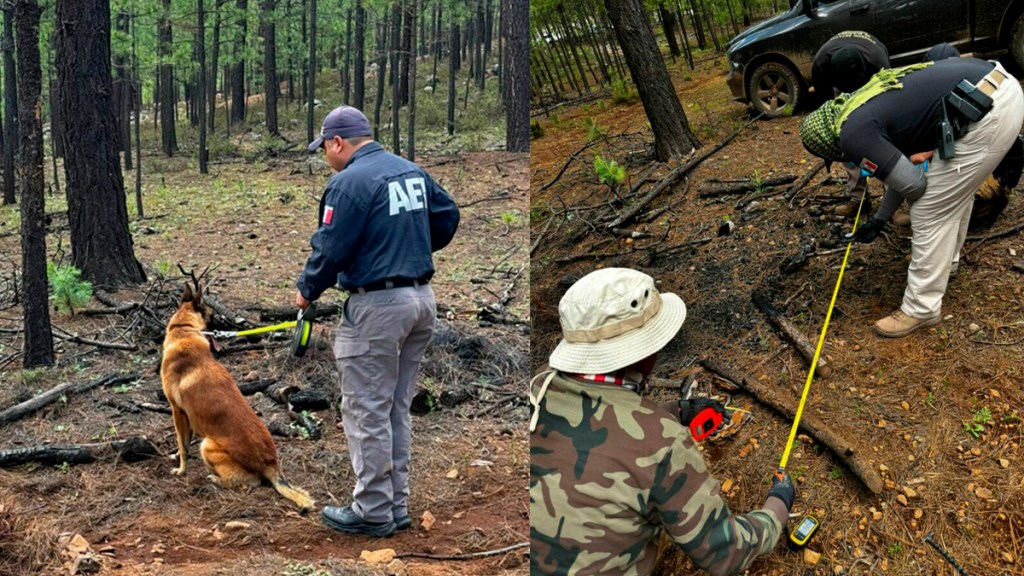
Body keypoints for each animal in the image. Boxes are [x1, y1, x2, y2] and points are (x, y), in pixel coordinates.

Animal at [158, 280, 311, 508]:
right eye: (213, 316)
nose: (228, 328)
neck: (184, 329)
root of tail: (271, 464)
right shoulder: (187, 416)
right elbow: (183, 441)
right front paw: (176, 455)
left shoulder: (178, 411)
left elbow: (183, 445)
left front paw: (181, 469)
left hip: (207, 445)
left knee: (248, 482)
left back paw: (215, 479)